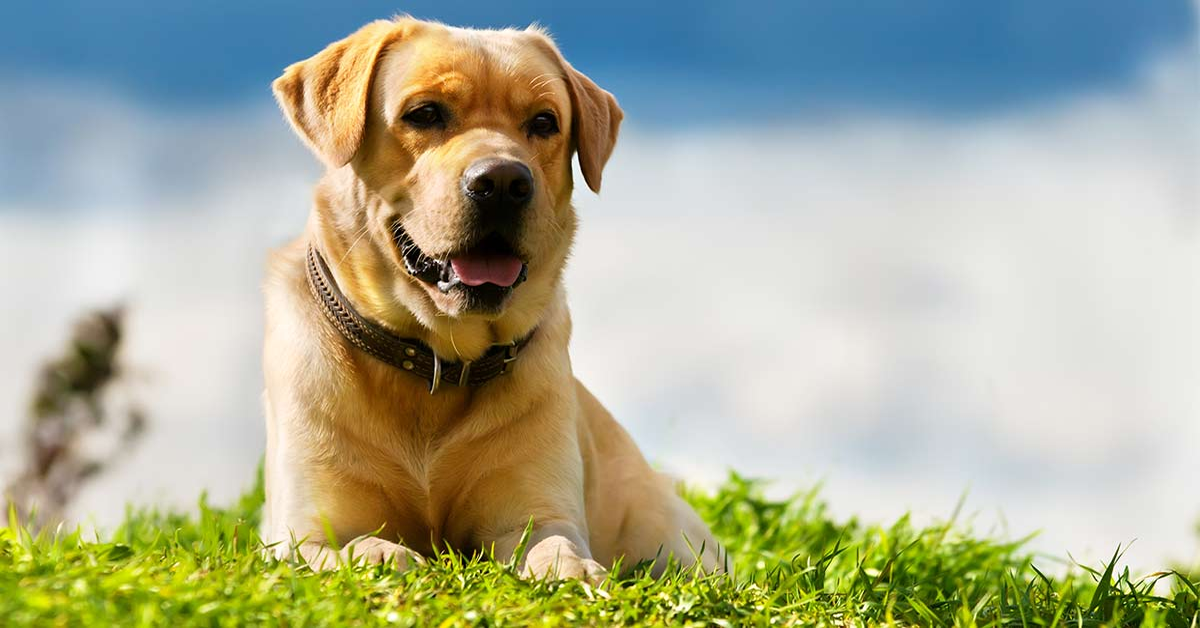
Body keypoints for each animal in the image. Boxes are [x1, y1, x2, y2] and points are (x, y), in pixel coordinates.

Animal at [264, 15, 724, 585]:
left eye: (544, 122)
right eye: (425, 114)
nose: (503, 182)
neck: (437, 363)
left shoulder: (535, 512)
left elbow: (554, 546)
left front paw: (574, 571)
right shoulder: (303, 531)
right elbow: (355, 546)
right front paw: (385, 556)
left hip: (673, 541)